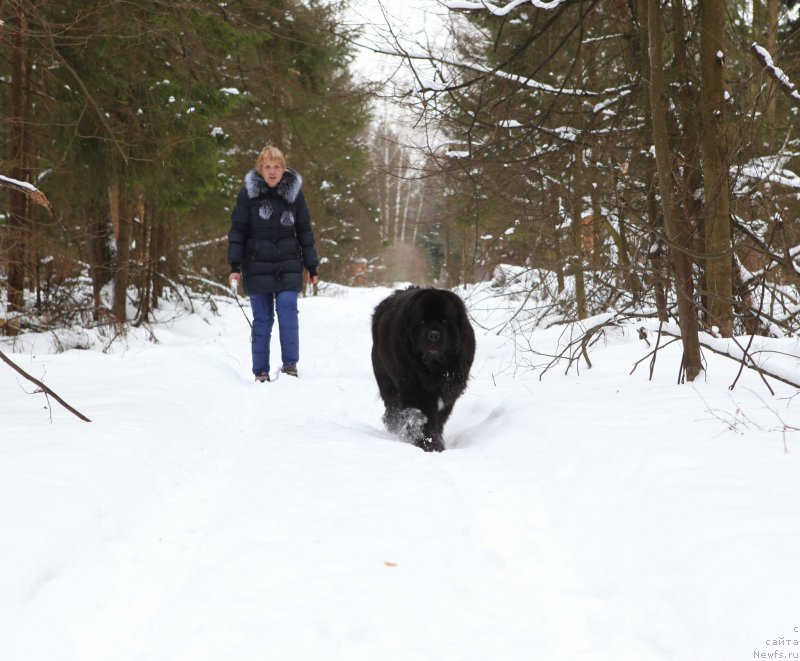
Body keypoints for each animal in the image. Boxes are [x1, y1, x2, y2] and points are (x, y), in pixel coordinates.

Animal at [370, 286, 476, 452]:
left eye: (444, 321)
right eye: (422, 322)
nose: (433, 335)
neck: (435, 370)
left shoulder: (450, 390)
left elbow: (439, 418)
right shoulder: (415, 390)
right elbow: (422, 418)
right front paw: (430, 445)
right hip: (386, 381)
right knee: (392, 408)